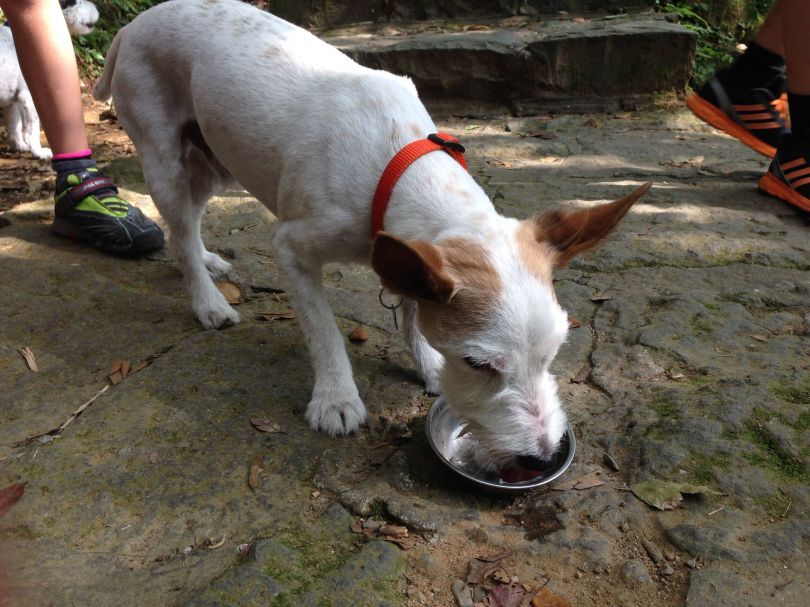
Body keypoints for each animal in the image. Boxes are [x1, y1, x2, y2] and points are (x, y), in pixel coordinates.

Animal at [0, 0, 99, 159]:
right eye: (74, 1)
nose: (96, 9)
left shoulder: (14, 102)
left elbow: (15, 125)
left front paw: (19, 146)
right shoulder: (28, 98)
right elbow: (32, 129)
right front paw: (38, 151)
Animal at [93, 0, 650, 469]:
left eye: (554, 352)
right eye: (478, 363)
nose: (540, 456)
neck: (397, 166)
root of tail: (135, 23)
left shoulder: (409, 256)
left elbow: (412, 312)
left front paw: (427, 364)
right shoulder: (291, 247)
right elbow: (325, 330)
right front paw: (336, 398)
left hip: (215, 160)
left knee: (190, 222)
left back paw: (208, 260)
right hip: (162, 152)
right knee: (178, 226)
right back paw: (207, 299)